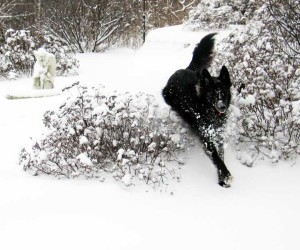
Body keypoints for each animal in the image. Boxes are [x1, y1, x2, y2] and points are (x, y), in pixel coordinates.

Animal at [163, 33, 233, 187]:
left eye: (224, 93)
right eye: (212, 94)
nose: (222, 107)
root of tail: (184, 69)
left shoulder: (218, 134)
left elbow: (221, 155)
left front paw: (222, 179)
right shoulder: (206, 136)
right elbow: (216, 157)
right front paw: (226, 175)